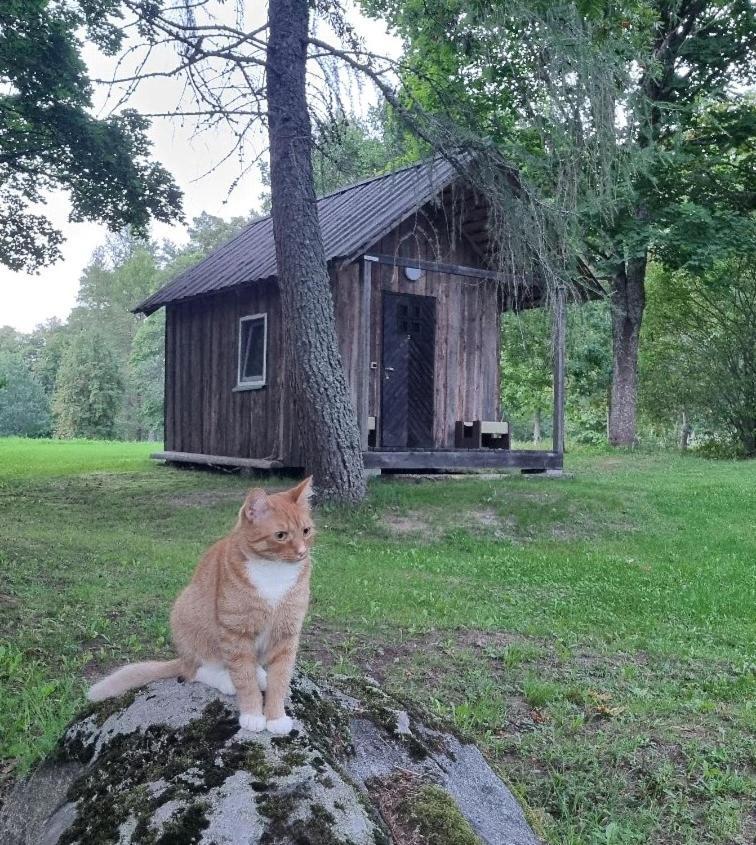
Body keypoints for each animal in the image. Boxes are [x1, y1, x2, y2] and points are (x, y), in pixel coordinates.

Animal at [88, 478, 314, 736]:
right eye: (280, 535)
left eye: (306, 531)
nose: (302, 552)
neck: (274, 573)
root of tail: (181, 657)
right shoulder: (235, 633)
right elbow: (244, 679)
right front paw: (253, 714)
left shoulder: (287, 634)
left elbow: (280, 679)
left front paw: (276, 717)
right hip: (187, 613)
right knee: (195, 670)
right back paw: (226, 680)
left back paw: (259, 674)